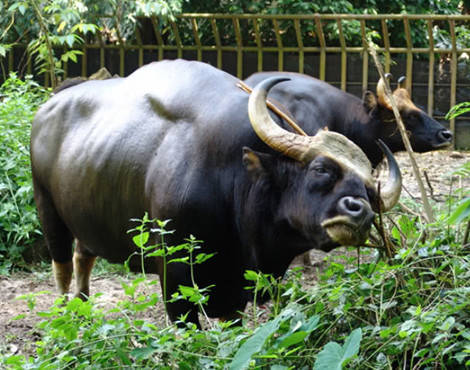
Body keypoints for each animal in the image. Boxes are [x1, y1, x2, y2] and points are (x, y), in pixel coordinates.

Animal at [31, 59, 400, 326]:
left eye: (369, 189)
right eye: (320, 169)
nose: (360, 211)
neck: (232, 182)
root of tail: (50, 107)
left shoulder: (234, 288)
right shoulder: (175, 277)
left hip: (85, 215)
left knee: (83, 256)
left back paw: (83, 309)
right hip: (48, 210)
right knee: (62, 265)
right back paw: (64, 315)